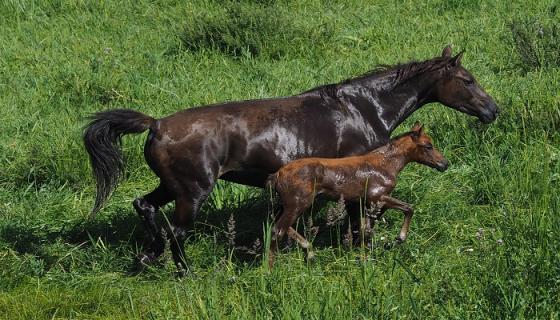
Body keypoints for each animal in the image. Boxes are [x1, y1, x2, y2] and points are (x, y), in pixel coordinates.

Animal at [268, 122, 450, 268]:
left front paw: (360, 253)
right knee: (277, 230)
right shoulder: (376, 198)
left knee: (279, 225)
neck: (384, 164)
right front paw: (399, 238)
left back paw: (309, 251)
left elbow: (365, 228)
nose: (444, 164)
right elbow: (408, 208)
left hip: (288, 206)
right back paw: (270, 269)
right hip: (297, 204)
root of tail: (277, 174)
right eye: (428, 146)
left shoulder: (367, 204)